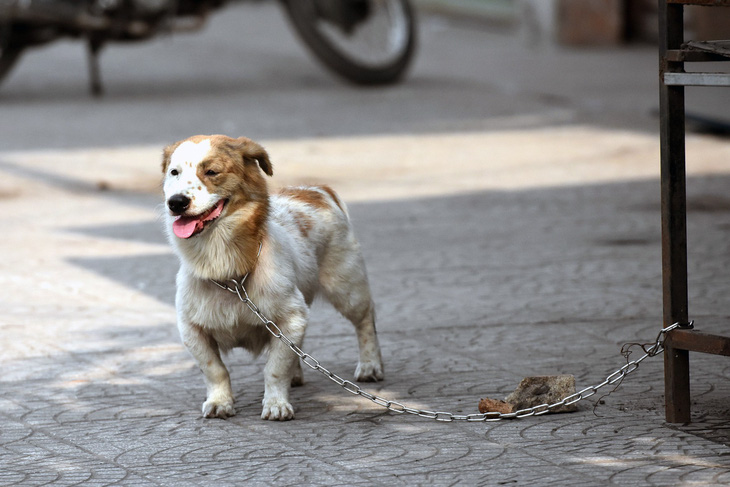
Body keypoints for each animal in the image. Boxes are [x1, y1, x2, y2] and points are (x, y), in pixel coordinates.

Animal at [161, 135, 384, 422]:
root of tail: (317, 190)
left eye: (211, 171)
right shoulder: (191, 329)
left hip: (347, 288)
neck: (229, 274)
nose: (176, 202)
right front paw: (220, 401)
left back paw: (370, 365)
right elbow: (215, 369)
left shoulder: (291, 318)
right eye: (173, 172)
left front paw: (276, 403)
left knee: (365, 322)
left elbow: (275, 368)